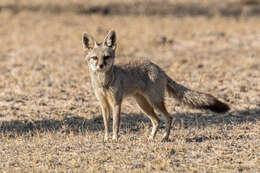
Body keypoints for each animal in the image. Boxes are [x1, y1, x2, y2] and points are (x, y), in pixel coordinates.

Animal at [82, 30, 230, 141]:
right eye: (95, 58)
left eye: (106, 57)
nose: (100, 66)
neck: (103, 83)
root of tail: (157, 67)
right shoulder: (104, 104)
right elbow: (106, 124)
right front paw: (106, 139)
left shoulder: (116, 102)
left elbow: (115, 124)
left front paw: (115, 139)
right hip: (143, 104)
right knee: (157, 120)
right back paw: (152, 138)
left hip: (154, 101)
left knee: (168, 118)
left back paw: (165, 137)